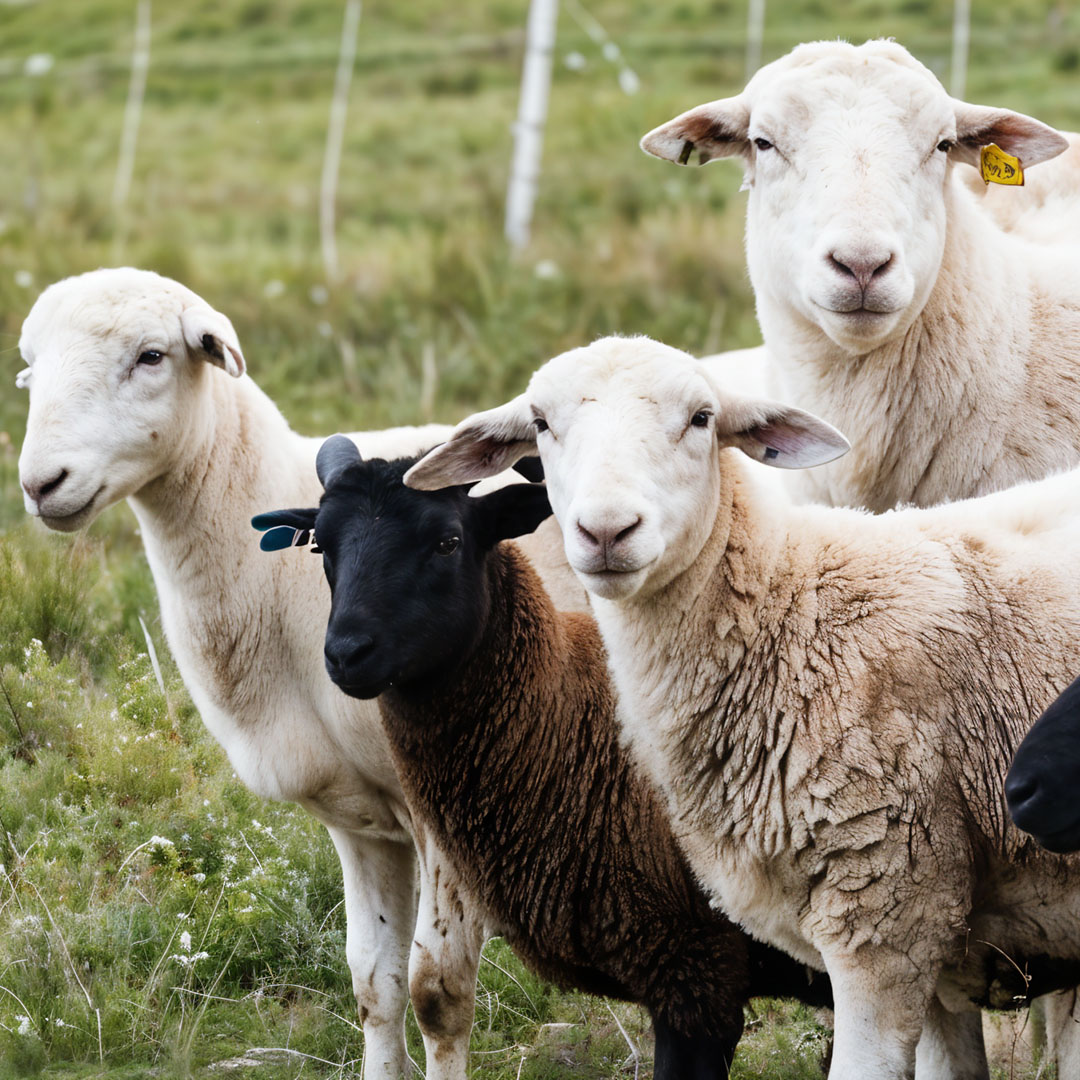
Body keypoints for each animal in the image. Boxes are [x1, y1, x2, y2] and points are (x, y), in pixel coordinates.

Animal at [15, 267, 588, 1080]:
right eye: (31, 369)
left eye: (152, 356)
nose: (40, 483)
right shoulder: (363, 819)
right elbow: (374, 982)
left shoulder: (452, 811)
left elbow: (438, 993)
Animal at [406, 334, 1080, 1080]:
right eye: (542, 424)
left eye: (702, 418)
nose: (607, 531)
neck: (796, 609)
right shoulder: (933, 938)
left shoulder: (885, 912)